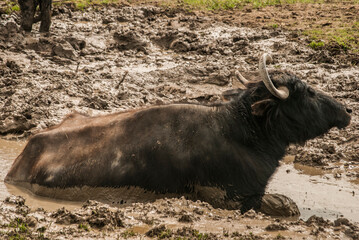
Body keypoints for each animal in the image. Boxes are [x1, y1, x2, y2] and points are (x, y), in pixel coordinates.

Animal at [4, 54, 352, 214]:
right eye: (307, 91)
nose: (348, 110)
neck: (239, 133)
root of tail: (25, 155)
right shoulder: (230, 197)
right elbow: (285, 205)